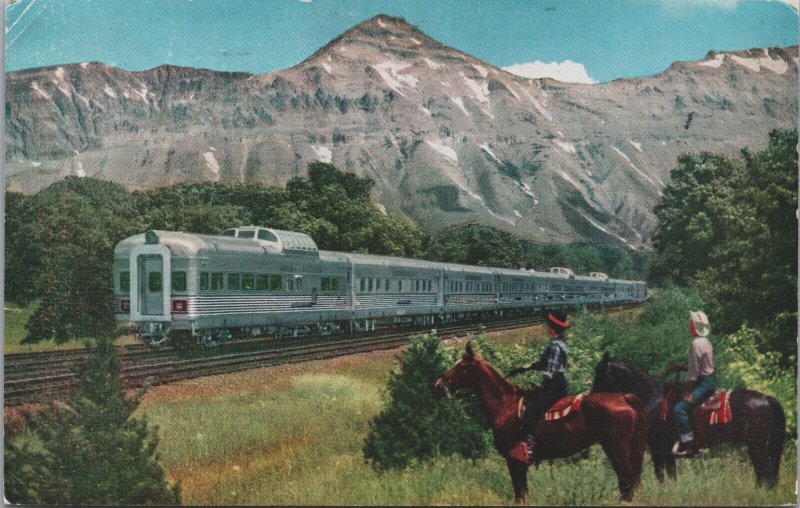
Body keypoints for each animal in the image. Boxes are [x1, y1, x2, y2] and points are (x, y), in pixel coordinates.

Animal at [432, 344, 648, 502]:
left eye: (461, 366)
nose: (438, 386)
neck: (505, 405)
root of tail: (625, 397)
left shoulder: (515, 460)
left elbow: (519, 494)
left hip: (615, 449)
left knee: (626, 483)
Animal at [592, 354, 784, 488]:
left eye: (601, 374)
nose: (592, 395)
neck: (653, 399)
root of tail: (766, 398)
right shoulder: (663, 449)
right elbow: (668, 474)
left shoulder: (659, 446)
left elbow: (663, 474)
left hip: (756, 443)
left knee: (764, 470)